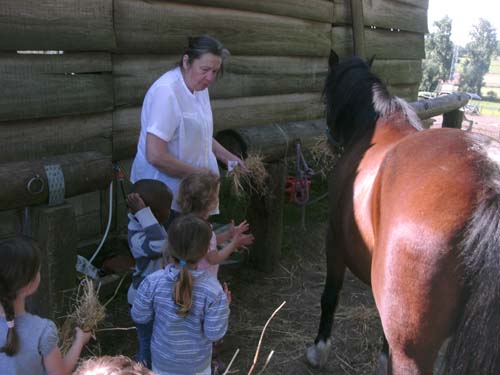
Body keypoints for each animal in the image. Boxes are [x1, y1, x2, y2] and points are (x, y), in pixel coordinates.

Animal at [306, 56, 500, 375]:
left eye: (327, 94)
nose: (331, 139)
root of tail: (489, 181)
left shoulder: (333, 241)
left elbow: (330, 296)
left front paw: (318, 351)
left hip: (413, 354)